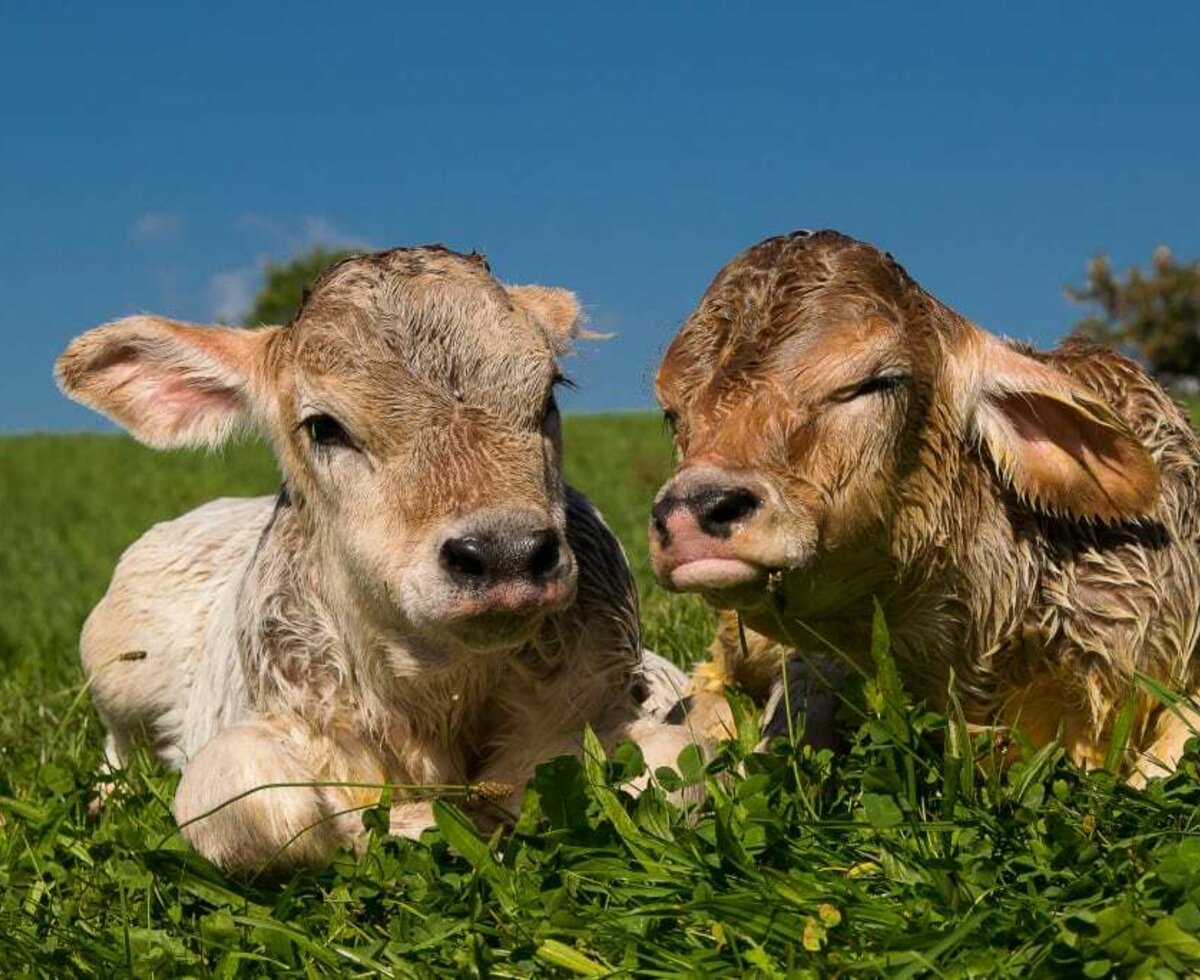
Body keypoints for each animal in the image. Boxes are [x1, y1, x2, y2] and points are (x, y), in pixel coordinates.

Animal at [58, 247, 696, 873]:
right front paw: (415, 824)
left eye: (548, 397)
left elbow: (673, 767)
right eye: (323, 427)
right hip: (117, 667)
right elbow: (254, 805)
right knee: (122, 751)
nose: (506, 553)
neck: (438, 691)